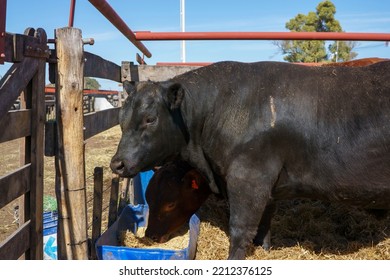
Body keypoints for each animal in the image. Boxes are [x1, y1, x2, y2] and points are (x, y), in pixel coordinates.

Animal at [110, 61, 390, 260]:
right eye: (121, 117)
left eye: (150, 119)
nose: (117, 164)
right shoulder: (269, 187)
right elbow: (264, 224)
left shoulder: (248, 179)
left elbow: (240, 229)